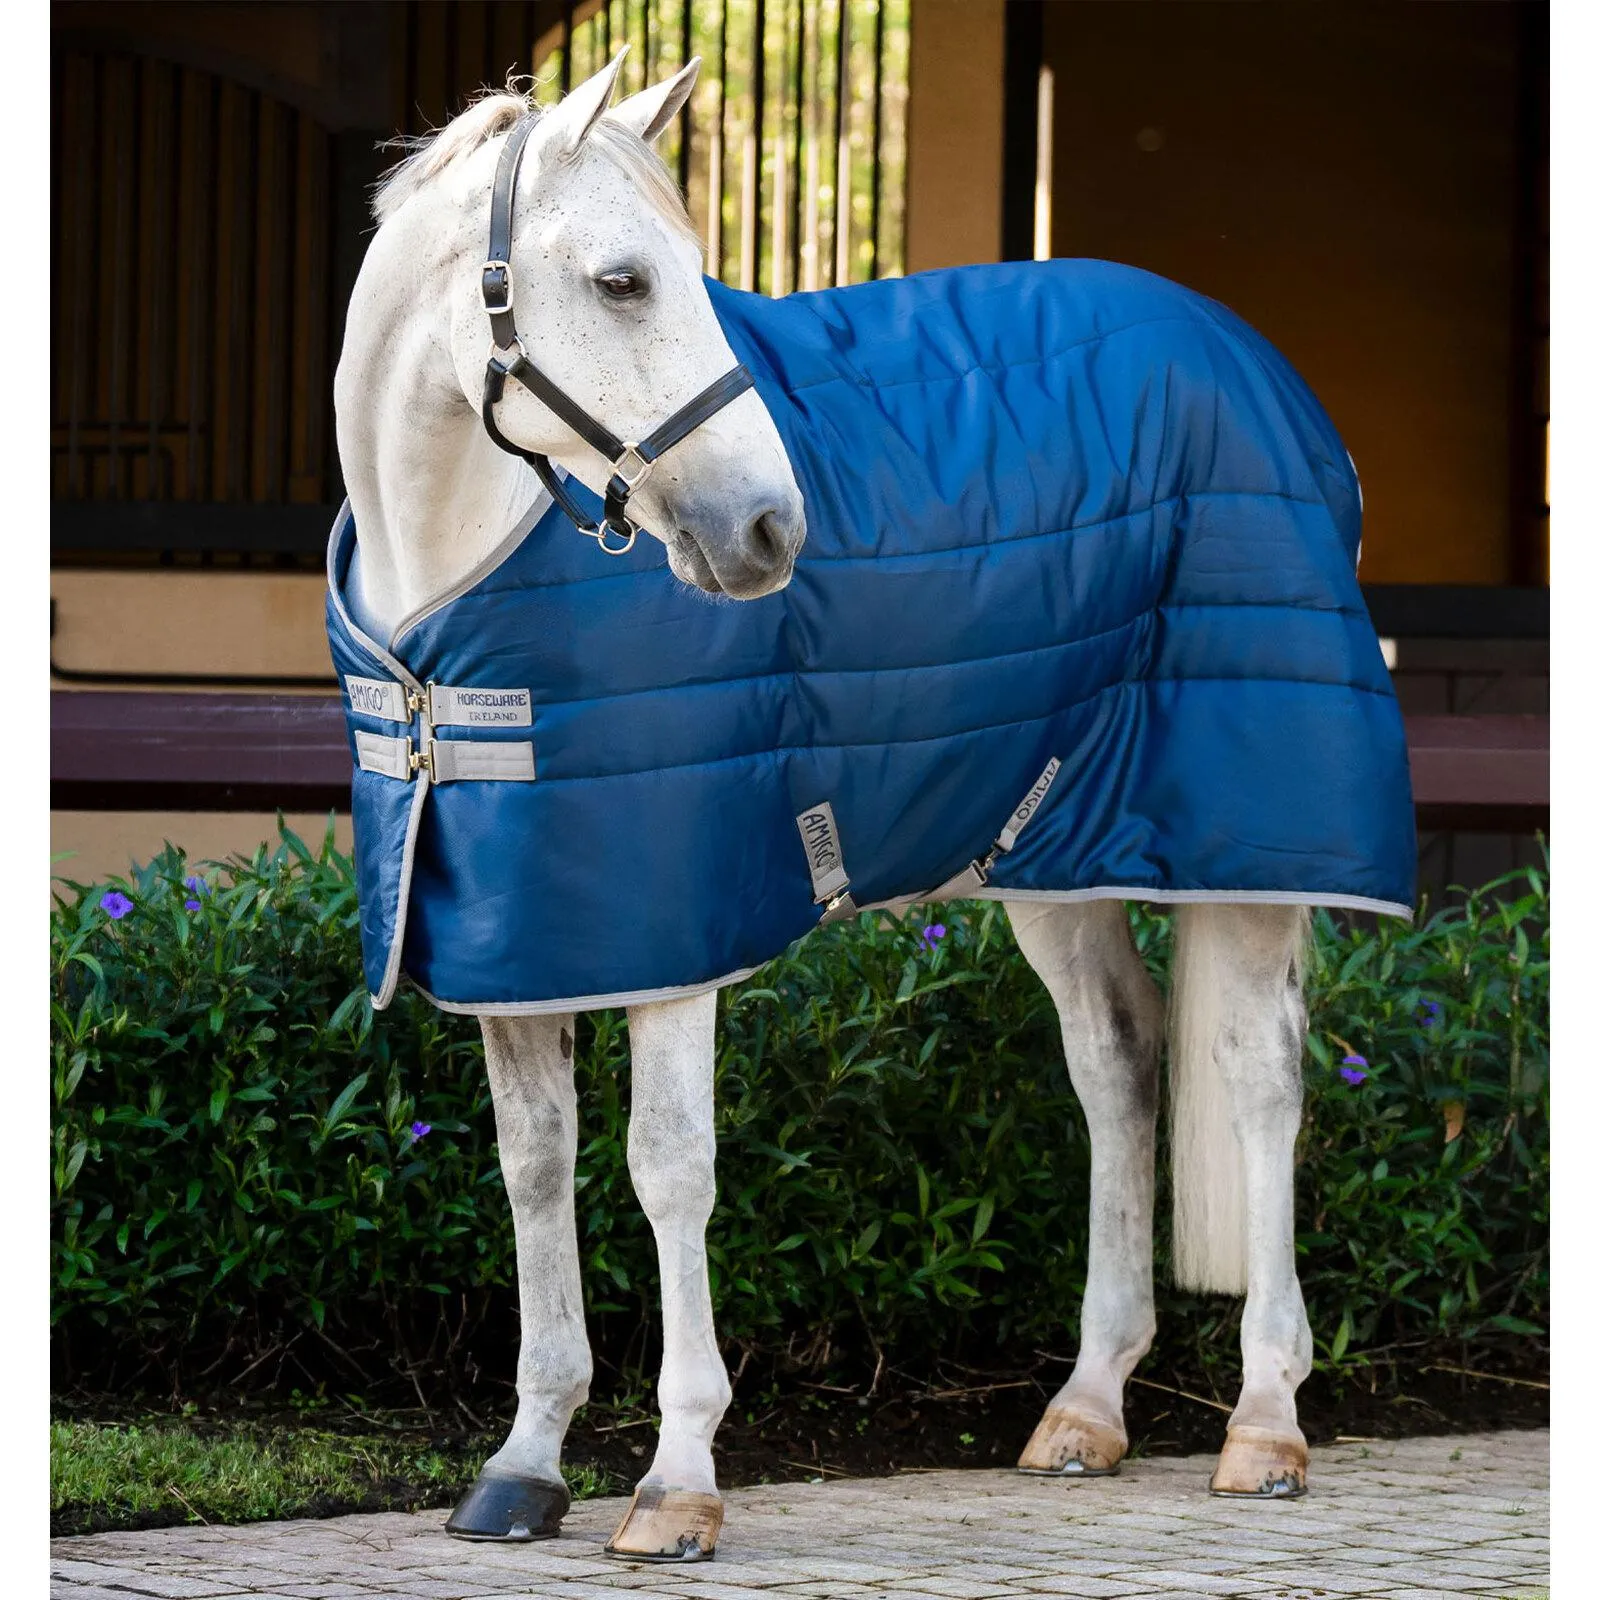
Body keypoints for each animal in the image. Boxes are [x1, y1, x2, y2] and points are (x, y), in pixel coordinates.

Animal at [331, 50, 1412, 1561]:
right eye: (621, 281)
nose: (769, 533)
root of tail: (1261, 372)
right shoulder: (520, 935)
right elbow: (534, 1169)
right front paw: (525, 1463)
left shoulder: (677, 932)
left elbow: (667, 1168)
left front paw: (676, 1482)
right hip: (1048, 852)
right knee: (1118, 1062)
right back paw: (1085, 1408)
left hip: (1245, 846)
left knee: (1260, 1078)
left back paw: (1264, 1422)